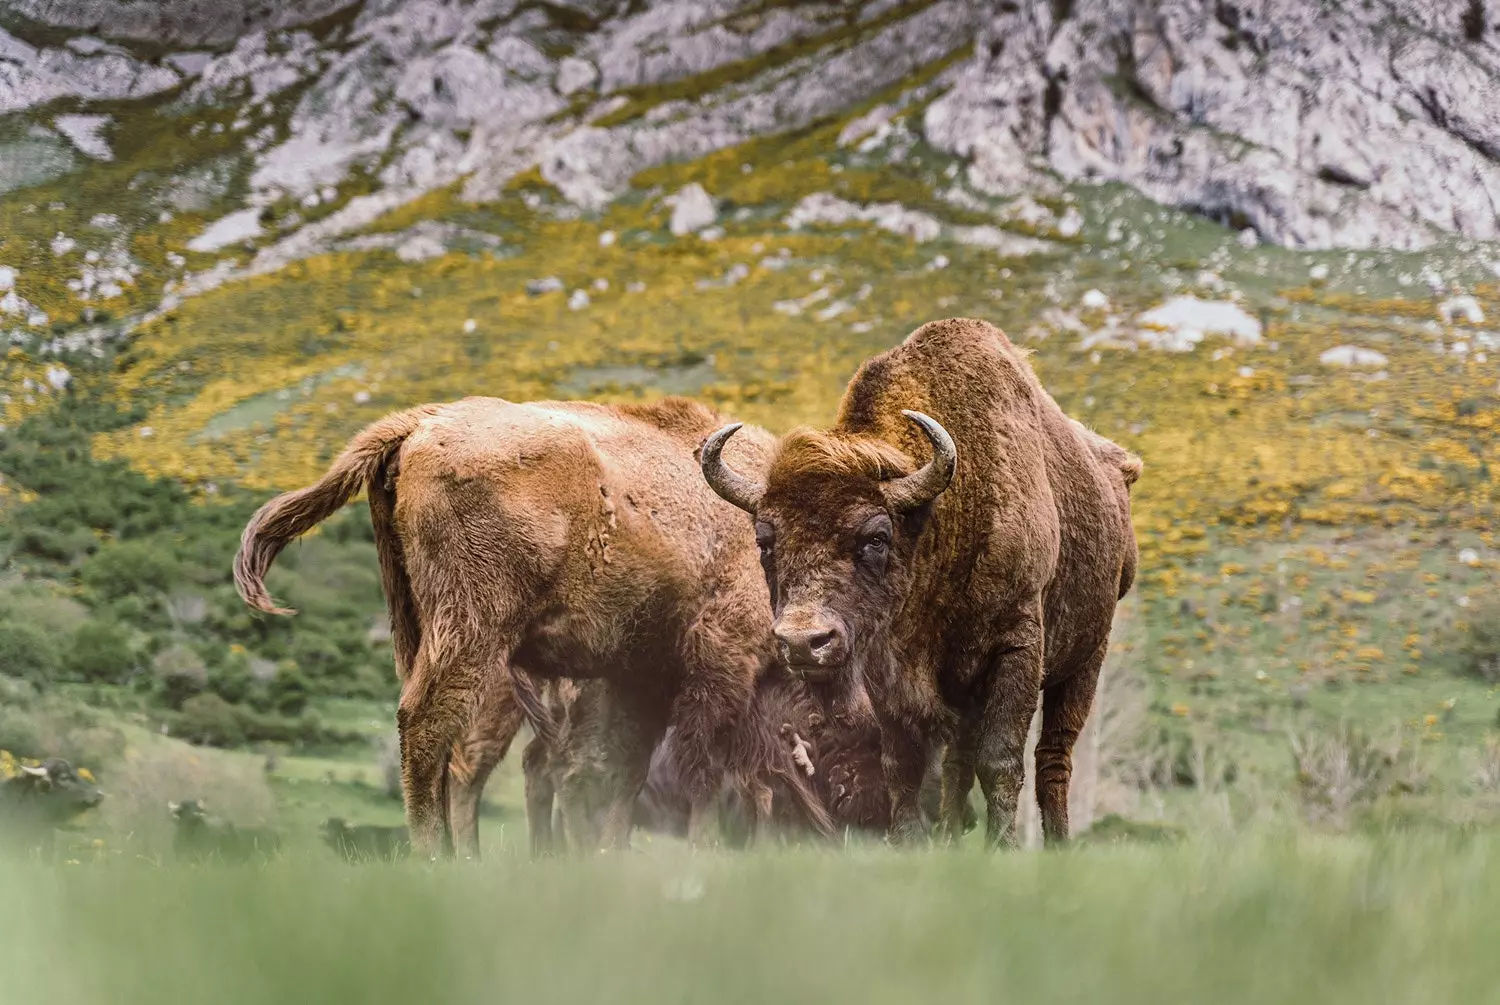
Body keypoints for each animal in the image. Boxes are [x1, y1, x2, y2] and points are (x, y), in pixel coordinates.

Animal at [235, 399, 780, 864]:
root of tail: (422, 422)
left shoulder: (642, 674)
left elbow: (629, 770)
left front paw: (612, 856)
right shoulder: (723, 660)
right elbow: (710, 768)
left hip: (421, 629)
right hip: (472, 631)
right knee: (430, 726)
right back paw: (439, 859)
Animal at [699, 319, 1134, 846]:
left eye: (876, 536)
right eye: (764, 539)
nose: (804, 642)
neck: (941, 517)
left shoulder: (1017, 647)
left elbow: (1001, 759)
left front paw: (1004, 846)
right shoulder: (889, 674)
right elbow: (903, 762)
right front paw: (910, 840)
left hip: (1086, 661)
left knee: (1053, 757)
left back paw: (1056, 843)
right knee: (959, 763)